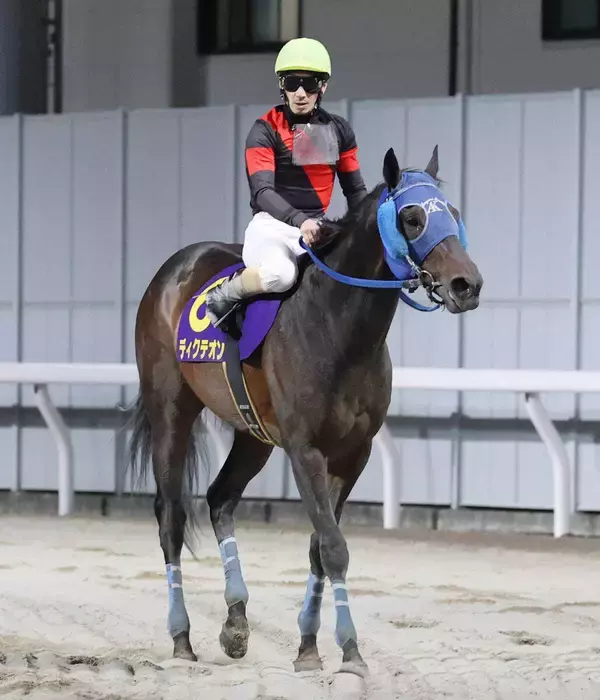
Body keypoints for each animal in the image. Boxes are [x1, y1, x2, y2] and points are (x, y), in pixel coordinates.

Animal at [125, 145, 483, 676]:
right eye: (412, 218)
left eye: (453, 214)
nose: (467, 284)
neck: (338, 329)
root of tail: (173, 270)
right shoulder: (305, 449)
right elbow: (333, 546)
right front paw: (351, 651)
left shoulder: (354, 453)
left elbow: (319, 546)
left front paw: (309, 648)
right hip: (170, 408)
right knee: (170, 516)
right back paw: (182, 639)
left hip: (253, 433)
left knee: (220, 498)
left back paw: (236, 621)